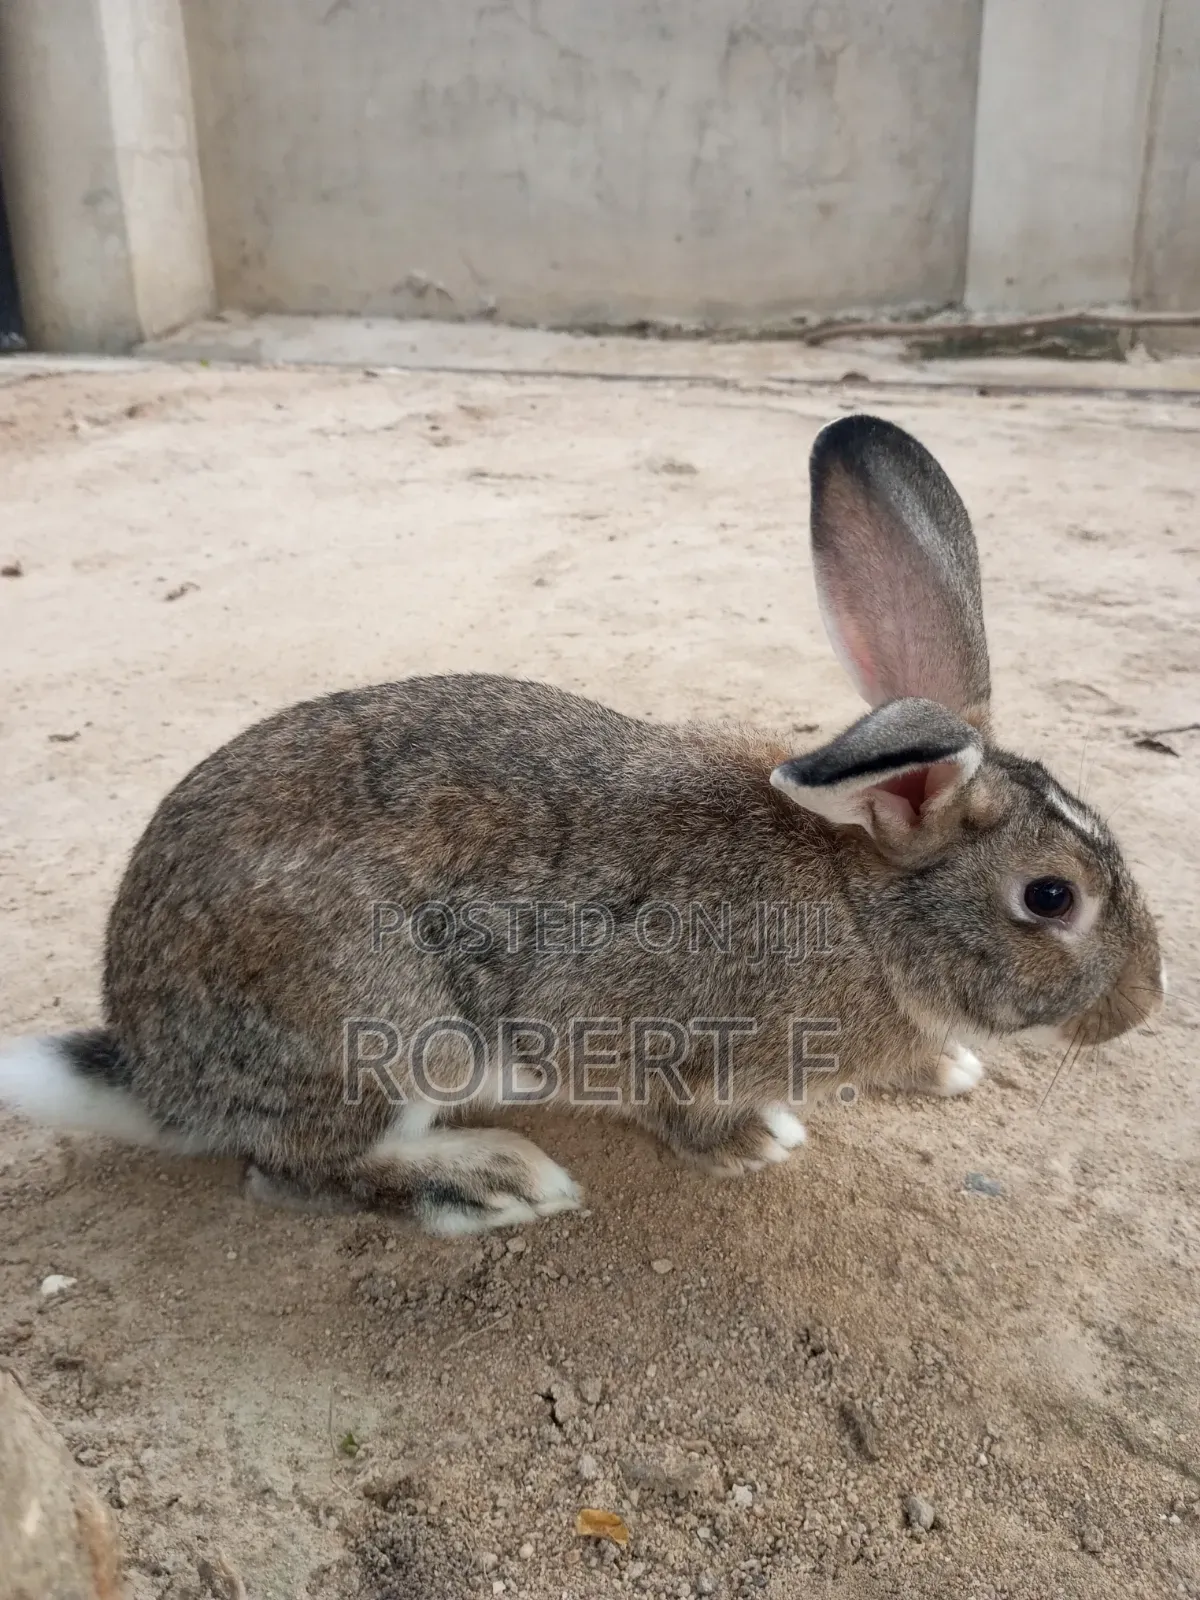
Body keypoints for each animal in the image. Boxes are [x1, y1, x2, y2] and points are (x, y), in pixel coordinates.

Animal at [0, 415, 1165, 1234]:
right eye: (1050, 897)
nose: (1145, 1004)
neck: (865, 909)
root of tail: (156, 1073)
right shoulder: (648, 1032)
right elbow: (681, 1105)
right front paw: (757, 1142)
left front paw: (948, 1070)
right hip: (387, 1038)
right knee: (293, 1170)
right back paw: (491, 1183)